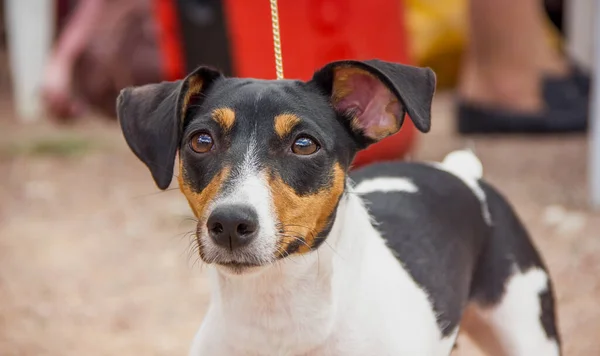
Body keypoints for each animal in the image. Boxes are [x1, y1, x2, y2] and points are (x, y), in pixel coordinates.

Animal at [118, 59, 564, 354]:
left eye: (304, 144)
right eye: (201, 140)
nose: (229, 223)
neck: (280, 317)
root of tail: (462, 172)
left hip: (528, 332)